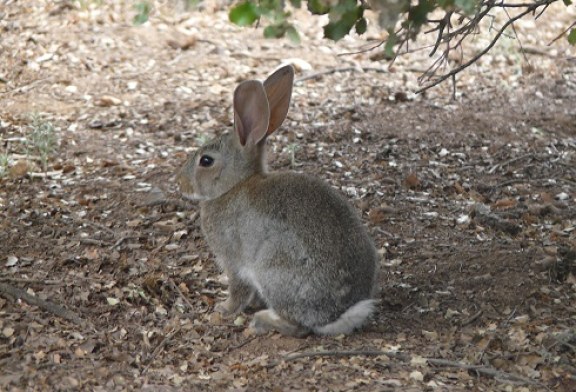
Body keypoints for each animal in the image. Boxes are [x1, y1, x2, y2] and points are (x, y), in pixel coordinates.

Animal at [178, 65, 380, 336]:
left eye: (206, 161)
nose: (180, 183)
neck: (234, 186)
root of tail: (337, 314)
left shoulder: (233, 261)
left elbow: (238, 288)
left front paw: (224, 309)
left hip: (273, 270)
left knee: (298, 326)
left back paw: (263, 320)